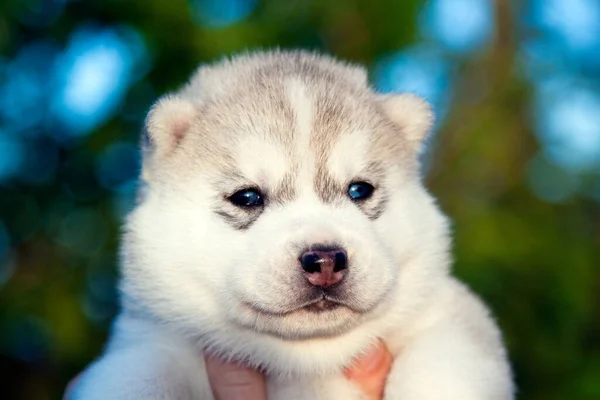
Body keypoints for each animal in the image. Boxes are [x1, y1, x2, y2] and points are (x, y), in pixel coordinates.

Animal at [69, 50, 510, 400]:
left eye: (359, 190)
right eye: (247, 197)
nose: (326, 260)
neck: (305, 360)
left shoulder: (451, 317)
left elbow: (443, 370)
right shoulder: (151, 341)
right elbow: (140, 376)